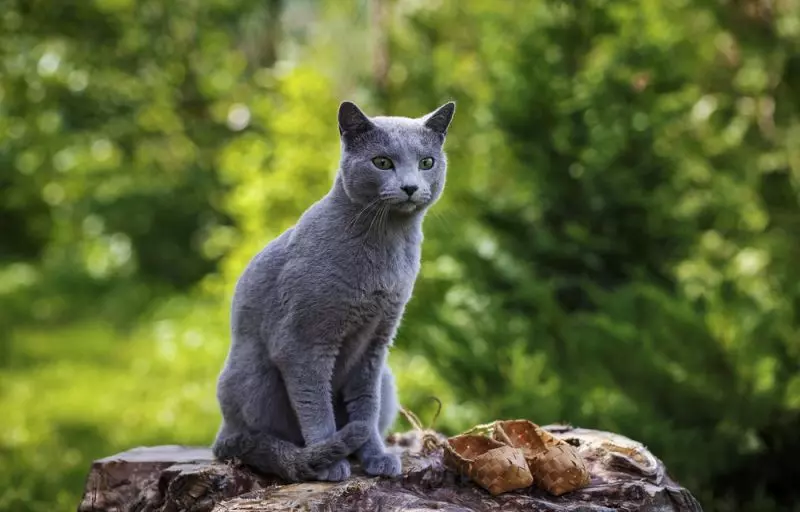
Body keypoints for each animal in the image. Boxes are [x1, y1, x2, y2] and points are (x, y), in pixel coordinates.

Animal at [211, 100, 456, 484]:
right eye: (382, 162)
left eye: (426, 163)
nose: (410, 186)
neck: (387, 244)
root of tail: (222, 433)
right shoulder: (302, 342)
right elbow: (316, 406)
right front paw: (328, 462)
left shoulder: (376, 343)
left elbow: (366, 407)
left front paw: (375, 456)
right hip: (254, 375)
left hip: (388, 379)